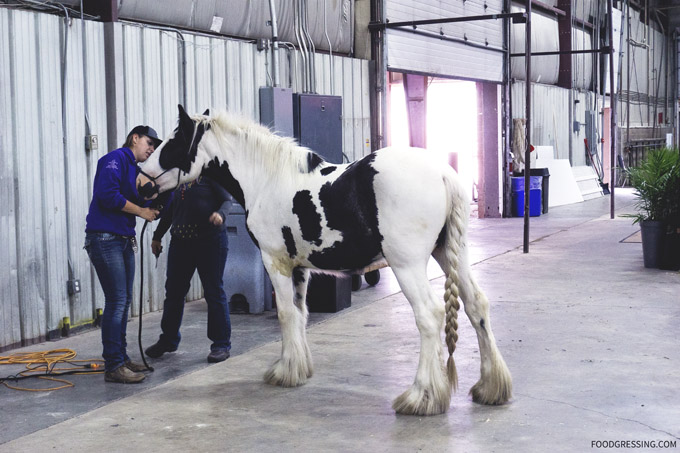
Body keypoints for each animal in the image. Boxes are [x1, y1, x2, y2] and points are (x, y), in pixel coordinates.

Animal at [141, 105, 512, 414]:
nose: (142, 180)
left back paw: (421, 397)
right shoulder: (299, 269)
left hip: (407, 265)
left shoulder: (275, 262)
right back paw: (490, 388)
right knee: (477, 305)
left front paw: (284, 372)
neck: (266, 179)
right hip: (451, 255)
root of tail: (444, 175)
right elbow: (300, 314)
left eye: (174, 142)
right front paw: (298, 368)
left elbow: (285, 315)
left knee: (430, 316)